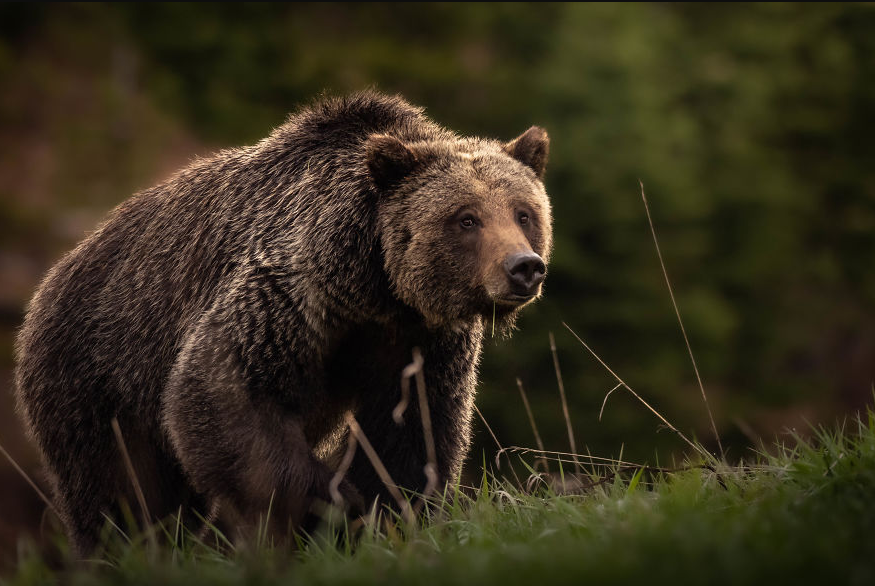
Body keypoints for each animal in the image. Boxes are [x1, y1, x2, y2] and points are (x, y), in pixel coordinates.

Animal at [13, 90, 552, 554]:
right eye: (466, 218)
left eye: (524, 213)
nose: (523, 267)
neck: (375, 286)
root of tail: (53, 277)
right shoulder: (292, 295)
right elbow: (227, 395)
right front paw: (332, 503)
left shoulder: (419, 338)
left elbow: (412, 429)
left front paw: (383, 514)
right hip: (98, 373)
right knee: (119, 494)